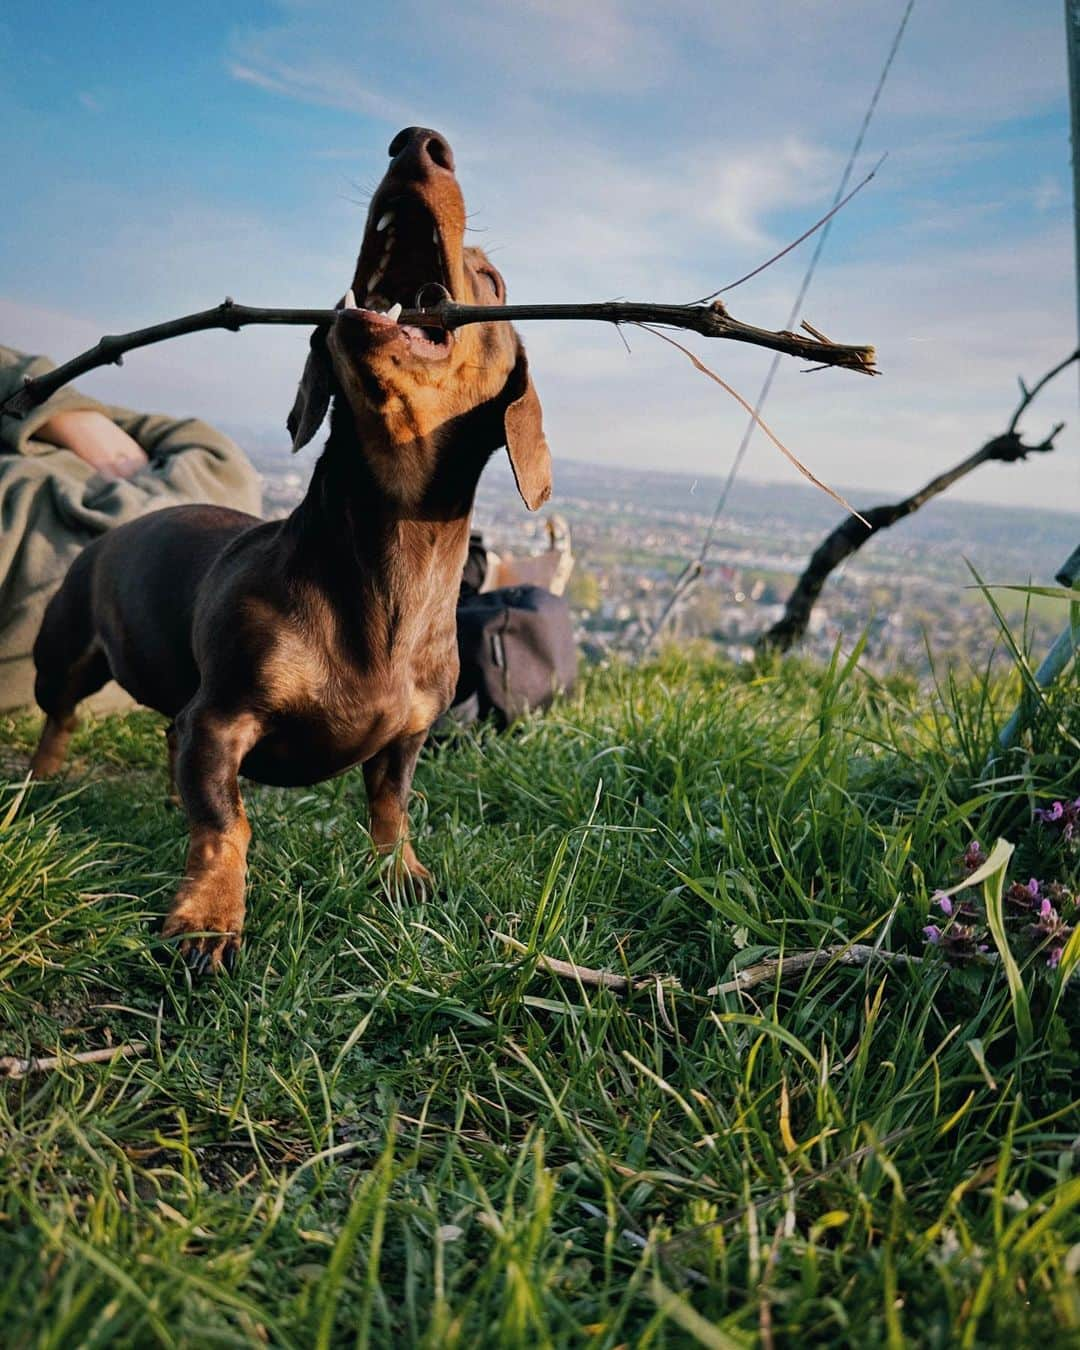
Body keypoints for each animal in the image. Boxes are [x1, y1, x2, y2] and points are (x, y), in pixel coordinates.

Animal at [29, 124, 553, 972]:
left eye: (494, 279)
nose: (416, 143)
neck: (387, 566)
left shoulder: (408, 737)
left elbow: (391, 808)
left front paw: (402, 875)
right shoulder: (221, 717)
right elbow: (226, 824)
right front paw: (208, 919)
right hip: (67, 657)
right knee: (62, 720)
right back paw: (41, 785)